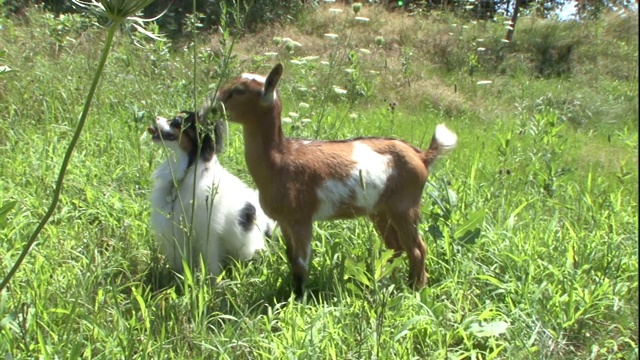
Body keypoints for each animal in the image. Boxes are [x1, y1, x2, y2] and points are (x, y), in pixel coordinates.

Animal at [202, 64, 458, 298]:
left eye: (238, 91)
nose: (210, 108)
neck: (281, 159)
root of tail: (421, 156)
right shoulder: (284, 221)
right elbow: (290, 258)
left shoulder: (302, 218)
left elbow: (300, 264)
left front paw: (299, 298)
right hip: (380, 210)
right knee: (395, 247)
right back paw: (387, 282)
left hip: (404, 206)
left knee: (417, 248)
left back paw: (415, 289)